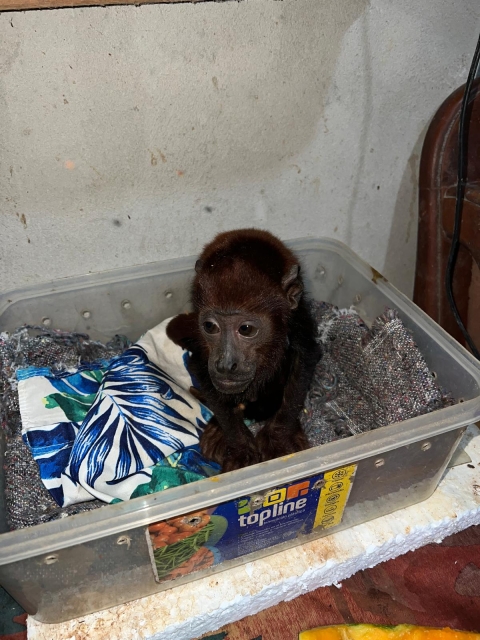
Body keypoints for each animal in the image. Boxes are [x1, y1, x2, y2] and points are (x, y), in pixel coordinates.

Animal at [166, 228, 321, 473]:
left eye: (246, 329)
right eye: (210, 326)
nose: (225, 364)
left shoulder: (298, 318)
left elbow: (305, 358)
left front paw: (278, 438)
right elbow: (199, 368)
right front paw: (238, 444)